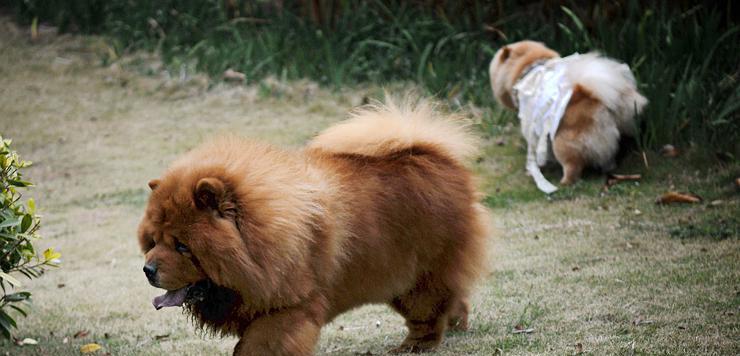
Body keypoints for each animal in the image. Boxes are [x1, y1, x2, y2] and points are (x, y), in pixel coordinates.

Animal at [139, 96, 492, 354]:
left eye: (182, 246)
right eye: (153, 242)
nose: (147, 269)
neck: (261, 236)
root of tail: (438, 157)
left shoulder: (291, 307)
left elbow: (257, 345)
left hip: (418, 276)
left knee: (428, 313)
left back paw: (414, 346)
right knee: (454, 298)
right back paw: (456, 326)